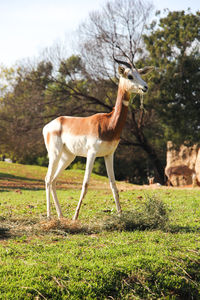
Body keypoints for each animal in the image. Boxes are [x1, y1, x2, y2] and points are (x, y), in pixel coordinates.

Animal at [43, 57, 153, 219]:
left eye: (140, 73)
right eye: (130, 76)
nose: (145, 87)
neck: (108, 123)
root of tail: (49, 126)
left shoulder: (109, 154)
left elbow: (113, 185)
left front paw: (121, 215)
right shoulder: (92, 153)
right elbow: (85, 184)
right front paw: (75, 217)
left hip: (68, 157)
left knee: (54, 180)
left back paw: (60, 216)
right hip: (55, 154)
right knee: (47, 179)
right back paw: (50, 216)